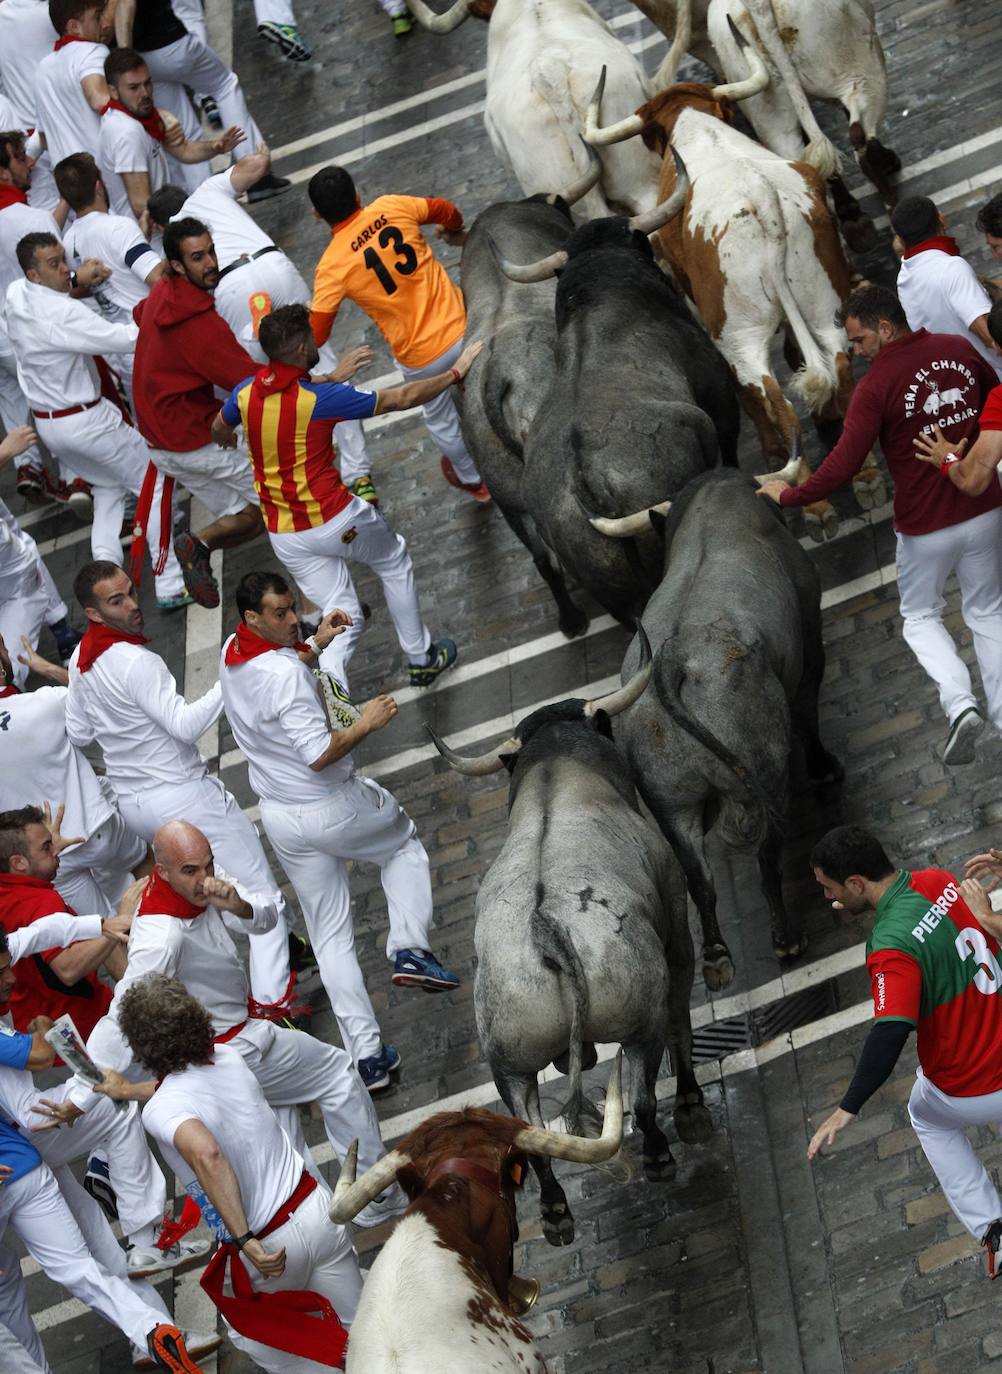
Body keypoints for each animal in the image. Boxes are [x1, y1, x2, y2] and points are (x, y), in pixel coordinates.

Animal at [428, 643, 709, 1247]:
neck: (556, 774)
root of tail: (545, 927)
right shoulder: (676, 927)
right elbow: (682, 1017)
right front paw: (693, 1107)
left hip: (507, 1062)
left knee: (530, 1139)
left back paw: (556, 1212)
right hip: (641, 1019)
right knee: (644, 1098)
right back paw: (658, 1156)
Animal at [585, 42, 885, 535]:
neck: (695, 125)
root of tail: (762, 200)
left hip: (739, 335)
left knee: (773, 398)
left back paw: (812, 503)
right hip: (826, 307)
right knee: (840, 372)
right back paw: (864, 477)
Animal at [613, 469, 841, 989]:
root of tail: (673, 661)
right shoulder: (810, 632)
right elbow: (808, 709)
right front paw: (824, 768)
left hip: (670, 801)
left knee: (698, 878)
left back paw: (717, 955)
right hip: (766, 775)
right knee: (766, 858)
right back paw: (785, 938)